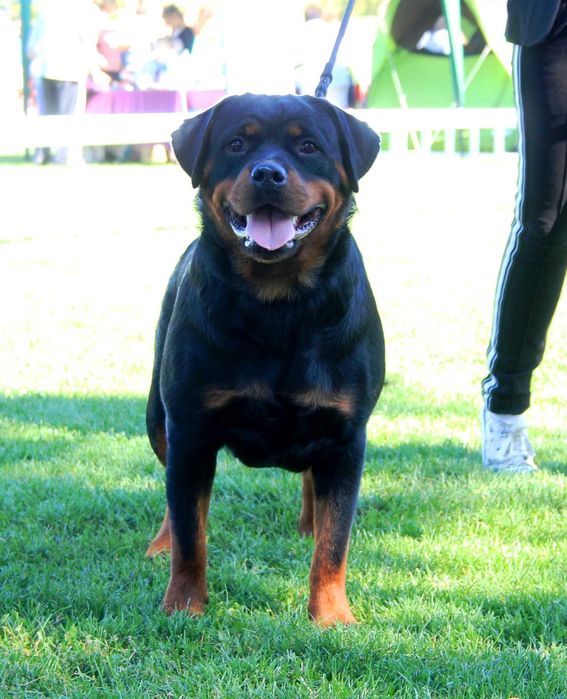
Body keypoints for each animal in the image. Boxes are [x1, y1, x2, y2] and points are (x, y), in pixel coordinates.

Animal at [145, 93, 384, 626]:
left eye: (308, 146)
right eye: (236, 144)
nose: (268, 174)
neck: (279, 302)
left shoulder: (346, 435)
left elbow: (335, 541)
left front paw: (330, 615)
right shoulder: (190, 428)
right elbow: (190, 531)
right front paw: (184, 605)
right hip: (157, 416)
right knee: (174, 501)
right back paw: (159, 544)